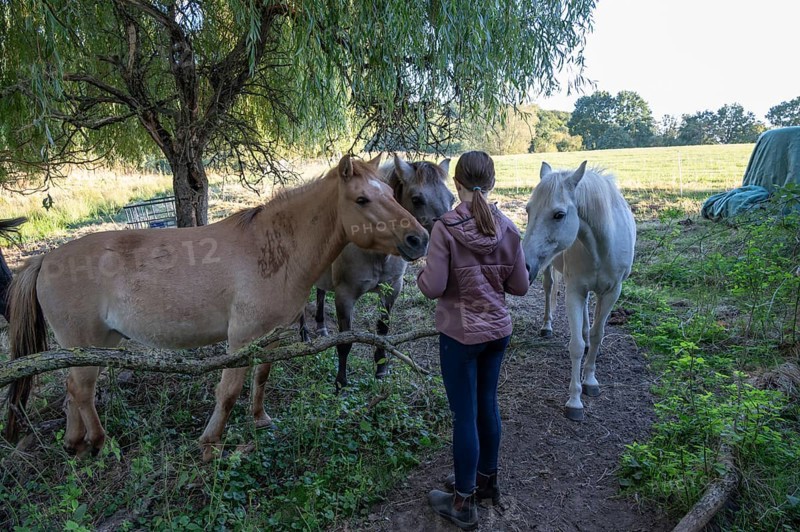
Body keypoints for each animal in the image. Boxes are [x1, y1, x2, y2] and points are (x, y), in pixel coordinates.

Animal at [4, 154, 429, 461]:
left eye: (390, 192)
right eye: (362, 199)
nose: (418, 239)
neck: (271, 250)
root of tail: (44, 259)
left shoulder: (270, 338)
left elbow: (261, 379)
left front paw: (260, 420)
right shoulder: (239, 340)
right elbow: (228, 391)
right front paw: (211, 444)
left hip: (96, 345)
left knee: (72, 390)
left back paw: (75, 444)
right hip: (86, 344)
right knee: (81, 390)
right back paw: (99, 442)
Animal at [300, 155, 454, 389]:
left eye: (452, 198)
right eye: (417, 199)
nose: (420, 242)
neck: (374, 250)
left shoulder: (391, 289)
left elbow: (383, 329)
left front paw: (381, 369)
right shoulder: (345, 296)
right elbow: (345, 341)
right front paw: (340, 382)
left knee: (320, 293)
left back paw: (321, 327)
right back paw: (304, 336)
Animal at [522, 161, 636, 421]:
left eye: (559, 215)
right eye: (528, 210)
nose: (523, 264)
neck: (602, 245)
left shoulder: (612, 292)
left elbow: (596, 334)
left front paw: (590, 380)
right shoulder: (574, 291)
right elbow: (575, 345)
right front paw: (575, 401)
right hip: (550, 270)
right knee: (549, 290)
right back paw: (547, 326)